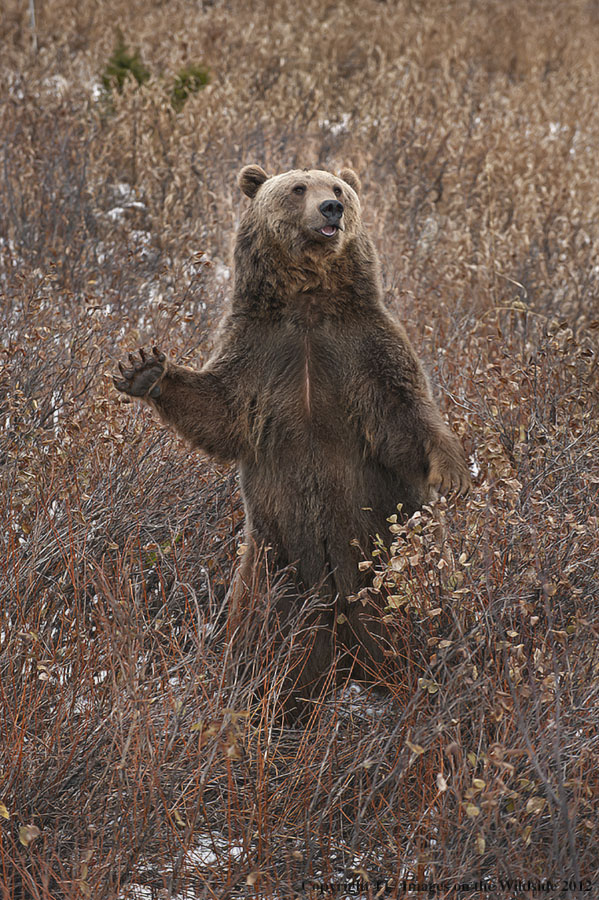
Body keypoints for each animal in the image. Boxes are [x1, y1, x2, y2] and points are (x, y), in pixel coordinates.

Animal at [115, 165, 472, 716]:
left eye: (339, 188)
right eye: (298, 188)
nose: (332, 209)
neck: (308, 301)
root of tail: (345, 652)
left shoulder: (364, 348)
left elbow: (405, 415)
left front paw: (452, 470)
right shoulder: (260, 351)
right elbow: (220, 410)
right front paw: (145, 369)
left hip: (390, 555)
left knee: (423, 623)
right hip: (275, 566)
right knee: (259, 643)